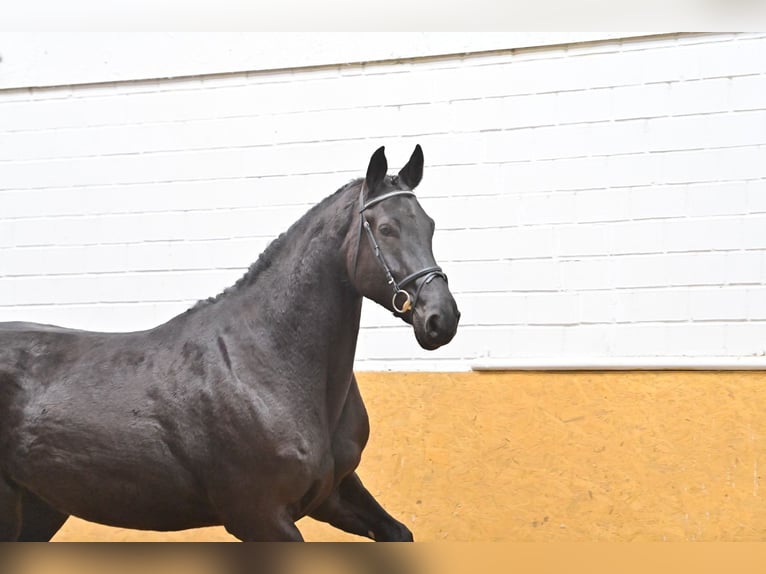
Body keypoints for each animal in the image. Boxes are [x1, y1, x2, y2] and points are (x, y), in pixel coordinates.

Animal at [0, 146, 462, 544]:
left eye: (430, 226)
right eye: (386, 228)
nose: (441, 318)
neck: (272, 364)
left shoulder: (334, 493)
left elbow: (397, 532)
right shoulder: (260, 517)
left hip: (41, 508)